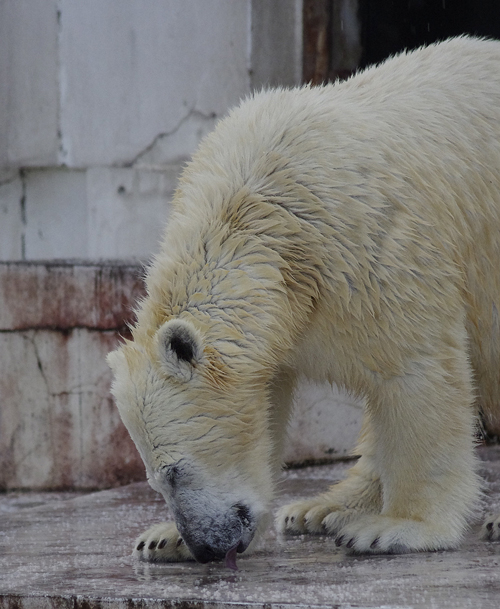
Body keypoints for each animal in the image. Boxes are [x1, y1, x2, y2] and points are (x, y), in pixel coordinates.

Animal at [107, 36, 500, 564]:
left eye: (176, 470)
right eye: (153, 480)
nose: (205, 547)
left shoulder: (369, 250)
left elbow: (413, 370)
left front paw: (397, 527)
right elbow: (267, 400)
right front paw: (162, 538)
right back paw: (321, 508)